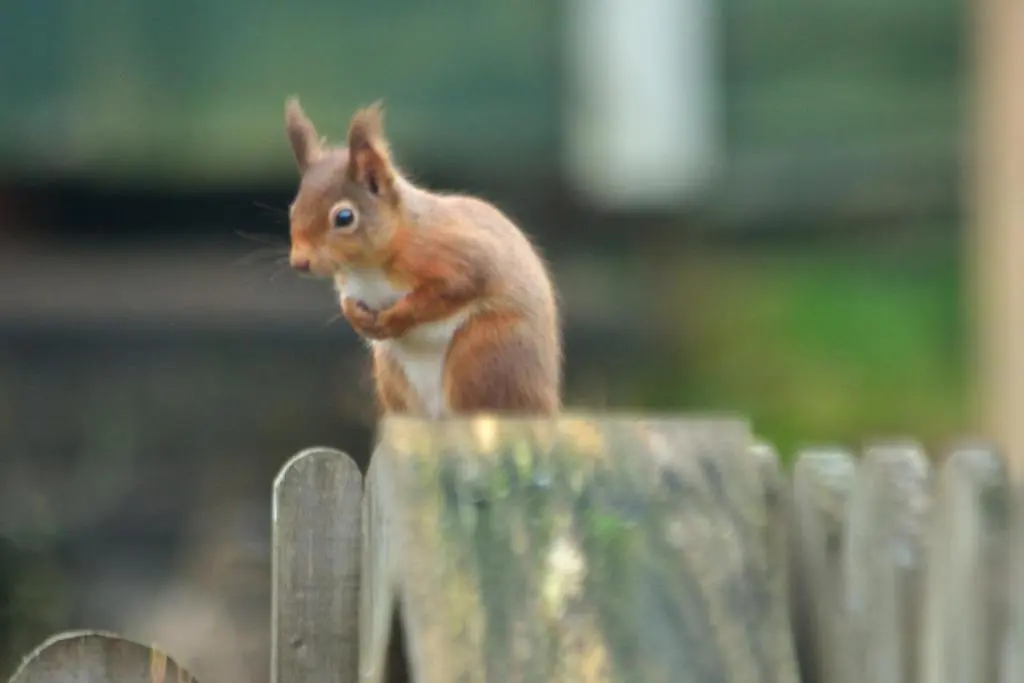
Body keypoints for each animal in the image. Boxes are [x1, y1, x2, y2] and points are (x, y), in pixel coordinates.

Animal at [283, 97, 562, 418]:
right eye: (293, 209)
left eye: (344, 217)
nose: (300, 262)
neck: (366, 267)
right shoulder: (349, 283)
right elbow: (347, 302)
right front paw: (356, 317)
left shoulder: (452, 254)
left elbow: (453, 288)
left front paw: (395, 318)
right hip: (393, 376)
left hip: (485, 353)